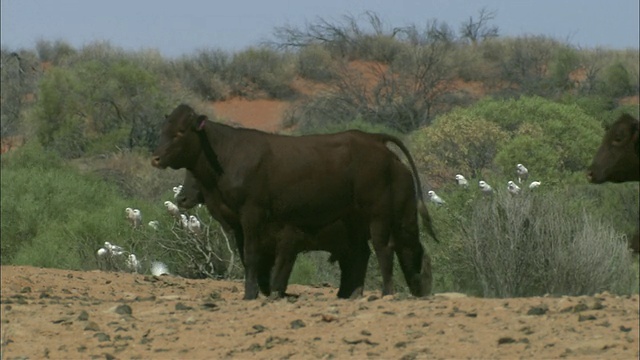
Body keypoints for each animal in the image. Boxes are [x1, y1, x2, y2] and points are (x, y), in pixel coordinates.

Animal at [152, 102, 438, 300]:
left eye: (180, 132)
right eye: (162, 130)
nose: (155, 158)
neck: (227, 156)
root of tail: (373, 138)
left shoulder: (253, 214)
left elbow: (254, 256)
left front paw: (251, 294)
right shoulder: (237, 223)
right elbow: (248, 258)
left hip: (379, 214)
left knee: (385, 249)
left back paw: (386, 293)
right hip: (359, 221)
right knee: (378, 253)